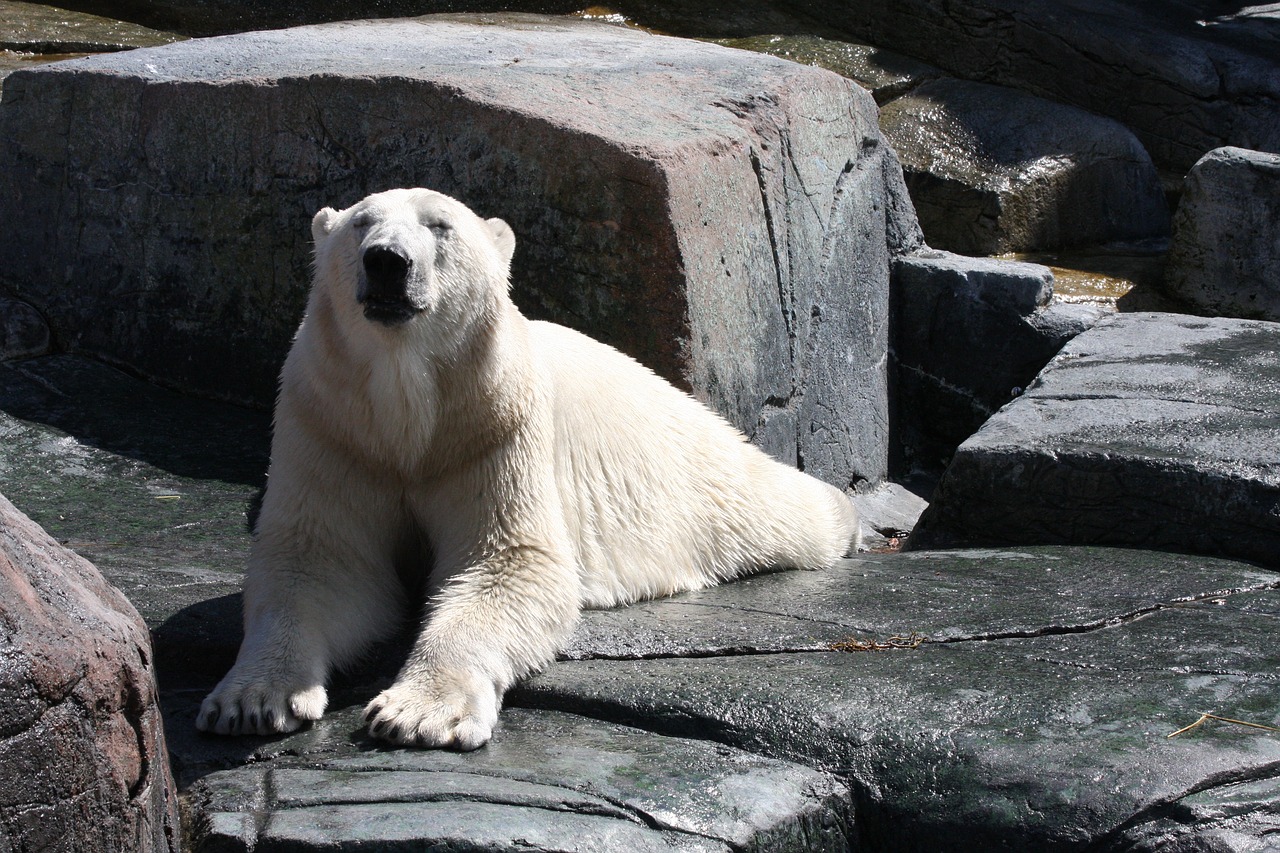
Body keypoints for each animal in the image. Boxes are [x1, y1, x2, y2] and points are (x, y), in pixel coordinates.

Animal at [197, 189, 860, 747]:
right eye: (361, 223)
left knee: (771, 509)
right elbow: (320, 563)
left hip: (690, 464)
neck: (409, 416)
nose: (386, 261)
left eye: (440, 226)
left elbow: (511, 563)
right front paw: (253, 699)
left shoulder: (494, 426)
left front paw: (420, 712)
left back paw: (847, 515)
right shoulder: (333, 427)